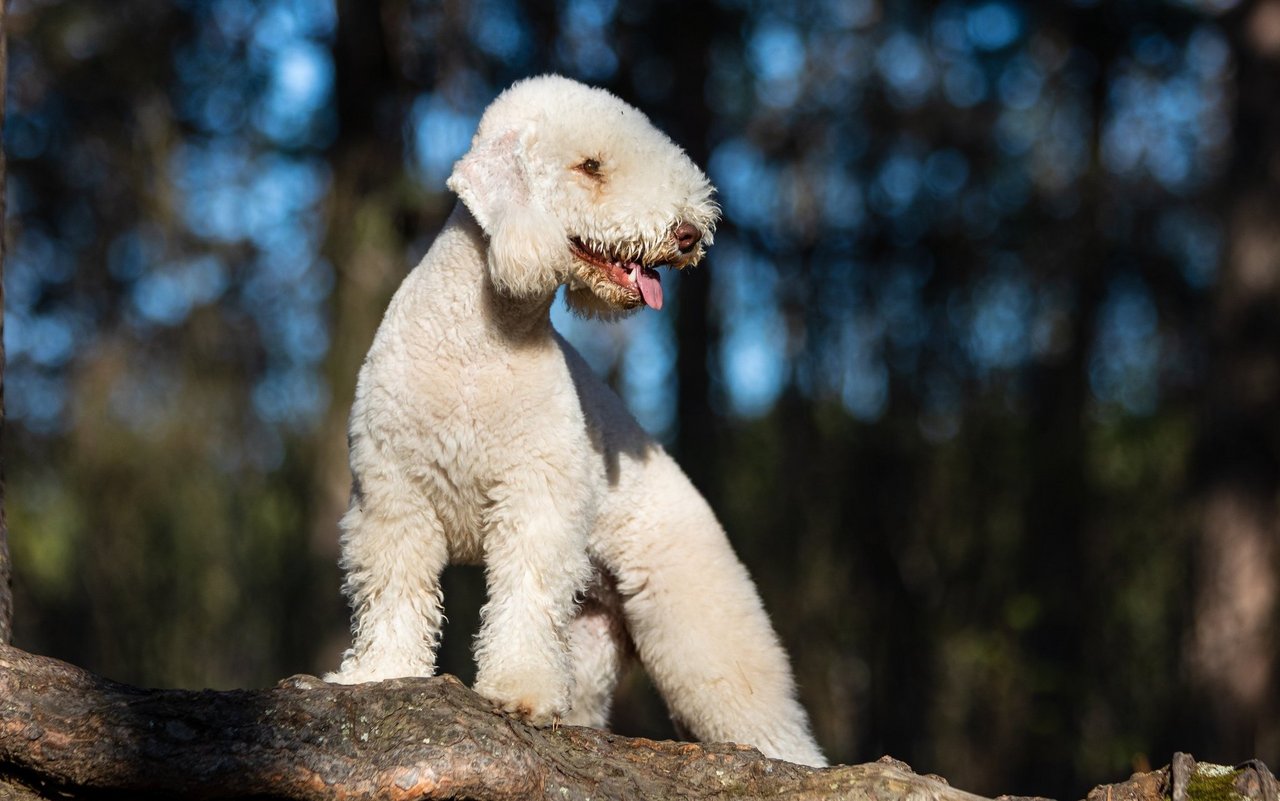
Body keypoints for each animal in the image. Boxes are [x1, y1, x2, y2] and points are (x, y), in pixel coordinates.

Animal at [330, 76, 824, 767]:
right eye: (590, 166)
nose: (688, 234)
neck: (479, 338)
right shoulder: (393, 494)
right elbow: (394, 593)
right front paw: (379, 675)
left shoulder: (536, 495)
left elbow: (524, 595)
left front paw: (518, 693)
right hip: (593, 631)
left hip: (694, 611)